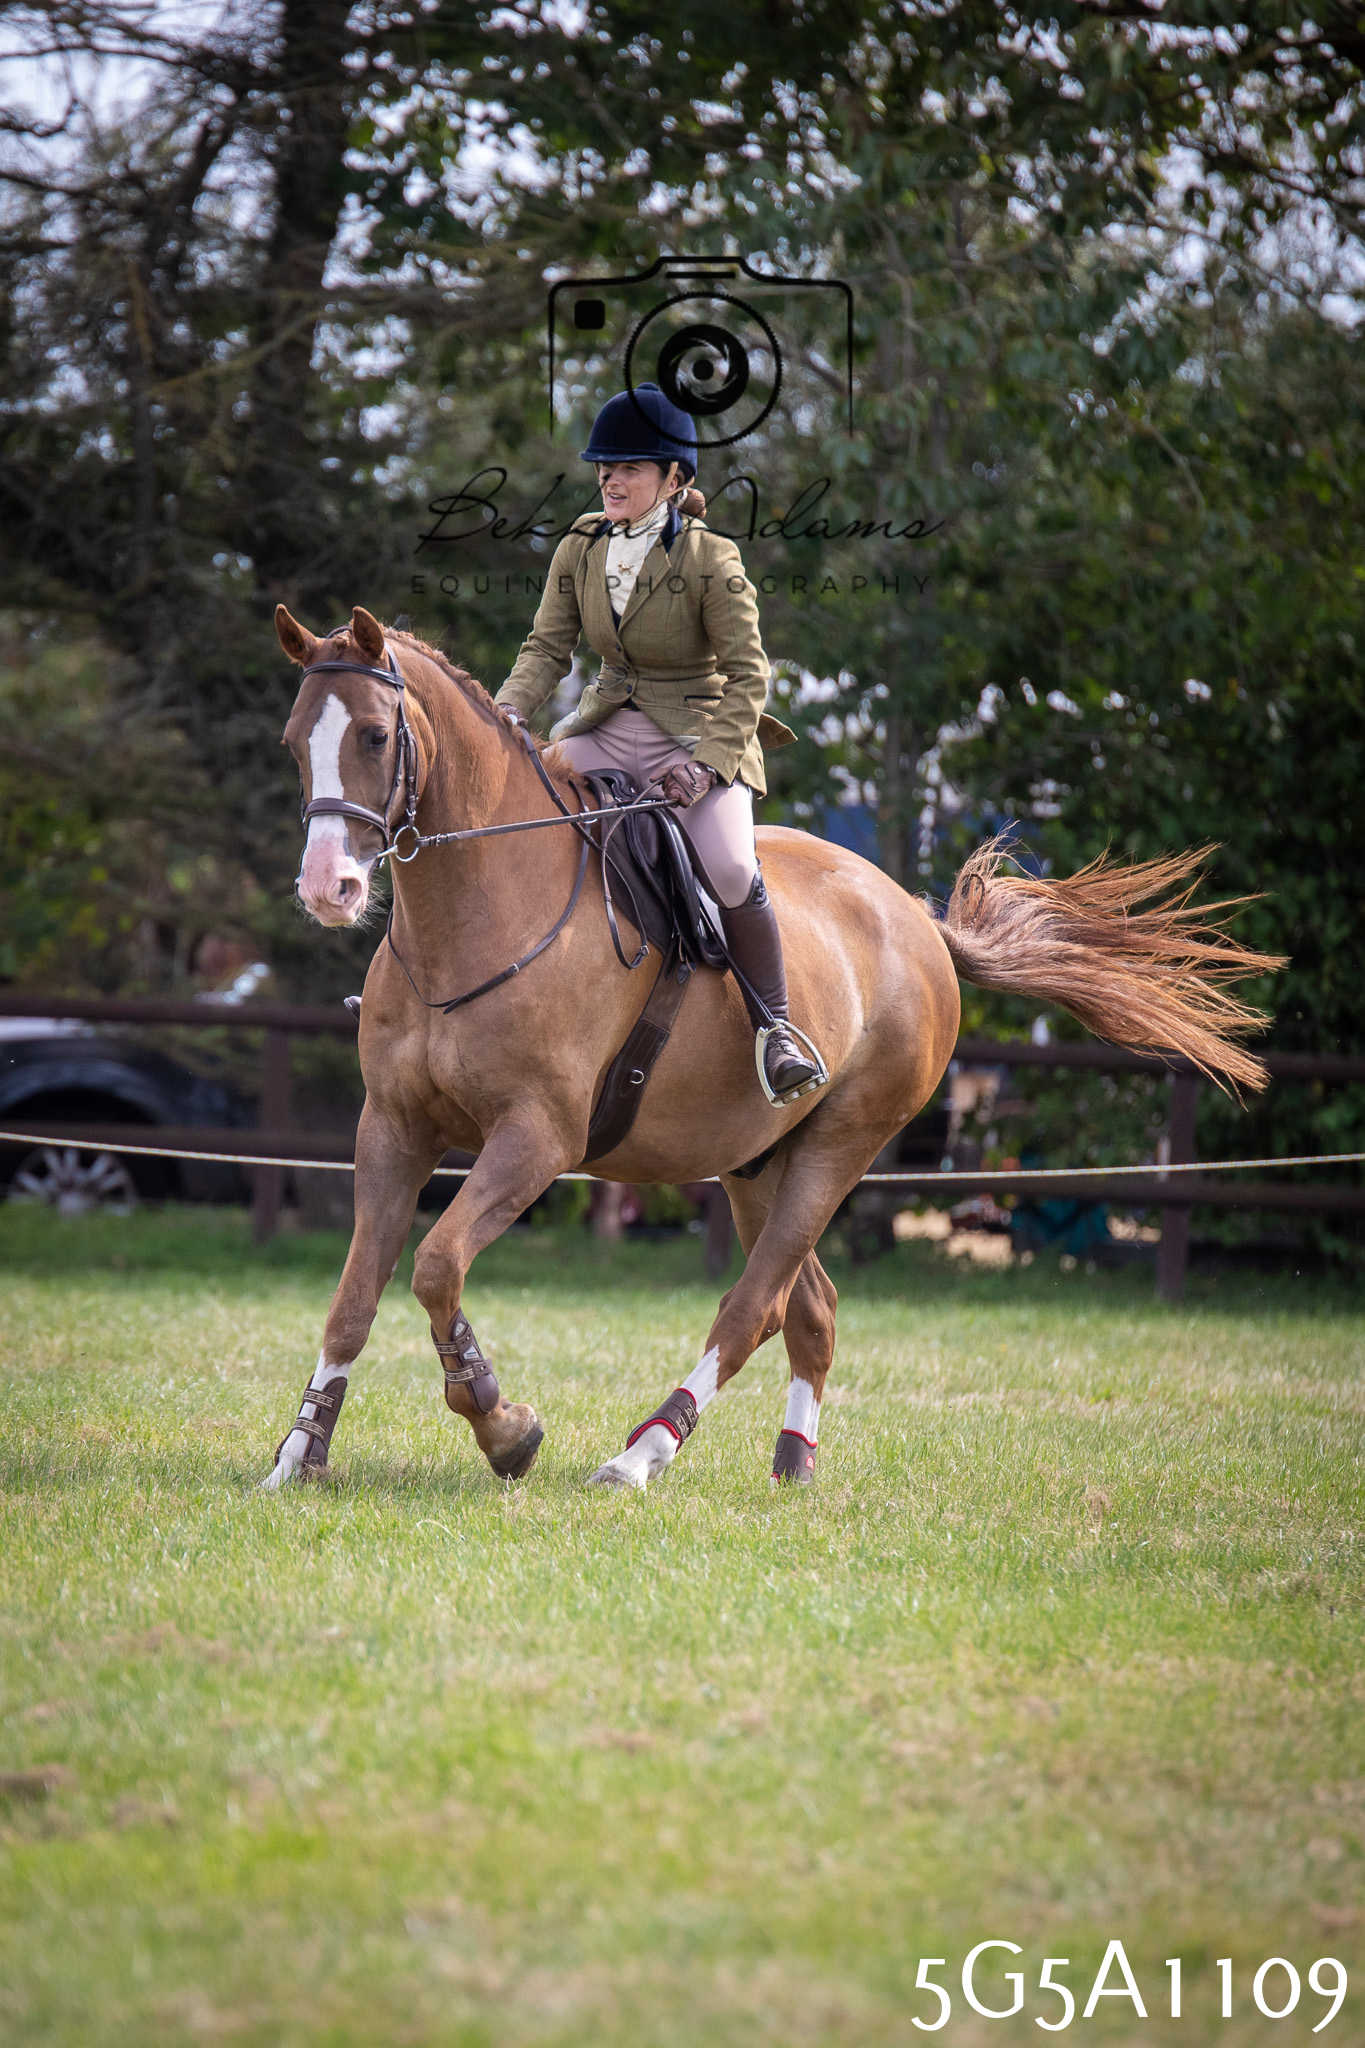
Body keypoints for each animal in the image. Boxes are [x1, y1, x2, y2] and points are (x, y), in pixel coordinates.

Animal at [264, 603, 1280, 1493]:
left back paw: (642, 1456)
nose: (328, 887)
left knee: (752, 1308)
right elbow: (354, 1297)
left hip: (840, 1145)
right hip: (756, 1161)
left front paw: (502, 1425)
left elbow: (436, 1265)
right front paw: (299, 1456)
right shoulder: (391, 1129)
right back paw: (792, 1462)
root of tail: (916, 919)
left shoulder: (535, 1140)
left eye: (375, 738)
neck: (474, 914)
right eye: (293, 741)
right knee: (809, 1308)